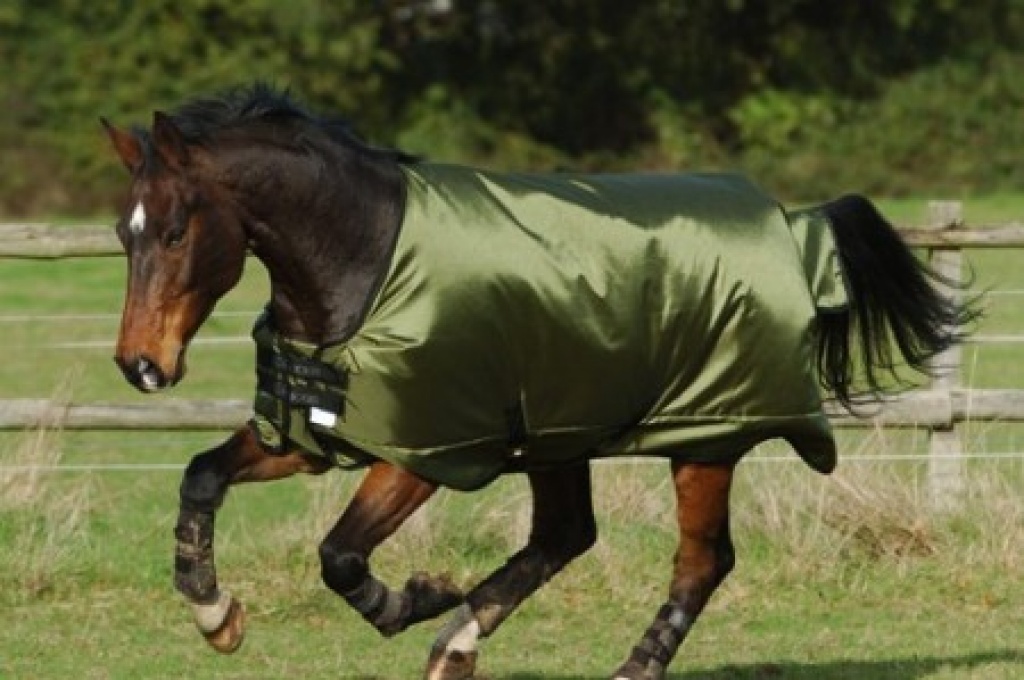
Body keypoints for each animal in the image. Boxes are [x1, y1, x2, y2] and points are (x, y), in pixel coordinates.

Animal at [102, 84, 974, 680]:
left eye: (175, 231)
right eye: (123, 231)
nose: (141, 365)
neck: (366, 261)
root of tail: (793, 225)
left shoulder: (424, 452)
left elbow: (340, 557)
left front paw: (415, 597)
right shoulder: (315, 435)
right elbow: (200, 476)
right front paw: (217, 614)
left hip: (707, 437)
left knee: (701, 561)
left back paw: (621, 665)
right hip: (561, 432)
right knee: (566, 536)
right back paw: (457, 645)